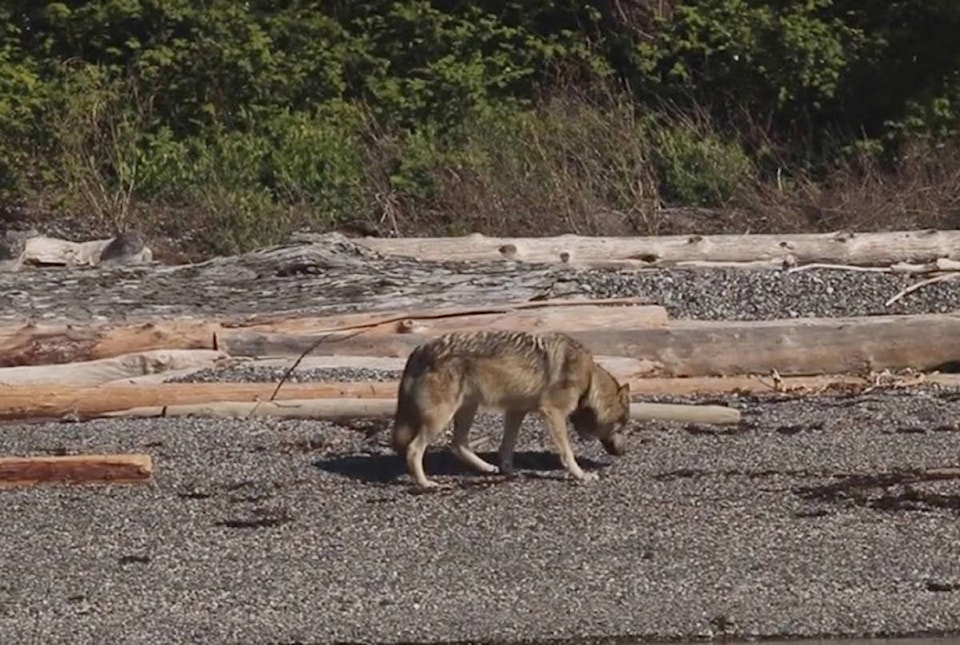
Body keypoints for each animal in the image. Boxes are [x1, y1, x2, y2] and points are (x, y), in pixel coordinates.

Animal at [390, 332, 632, 488]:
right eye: (621, 428)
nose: (624, 452)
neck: (589, 380)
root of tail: (419, 350)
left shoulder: (516, 411)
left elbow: (507, 447)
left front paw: (509, 470)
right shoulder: (552, 412)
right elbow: (567, 453)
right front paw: (581, 475)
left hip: (468, 408)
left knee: (457, 445)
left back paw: (487, 468)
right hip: (441, 417)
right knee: (414, 449)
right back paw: (425, 483)